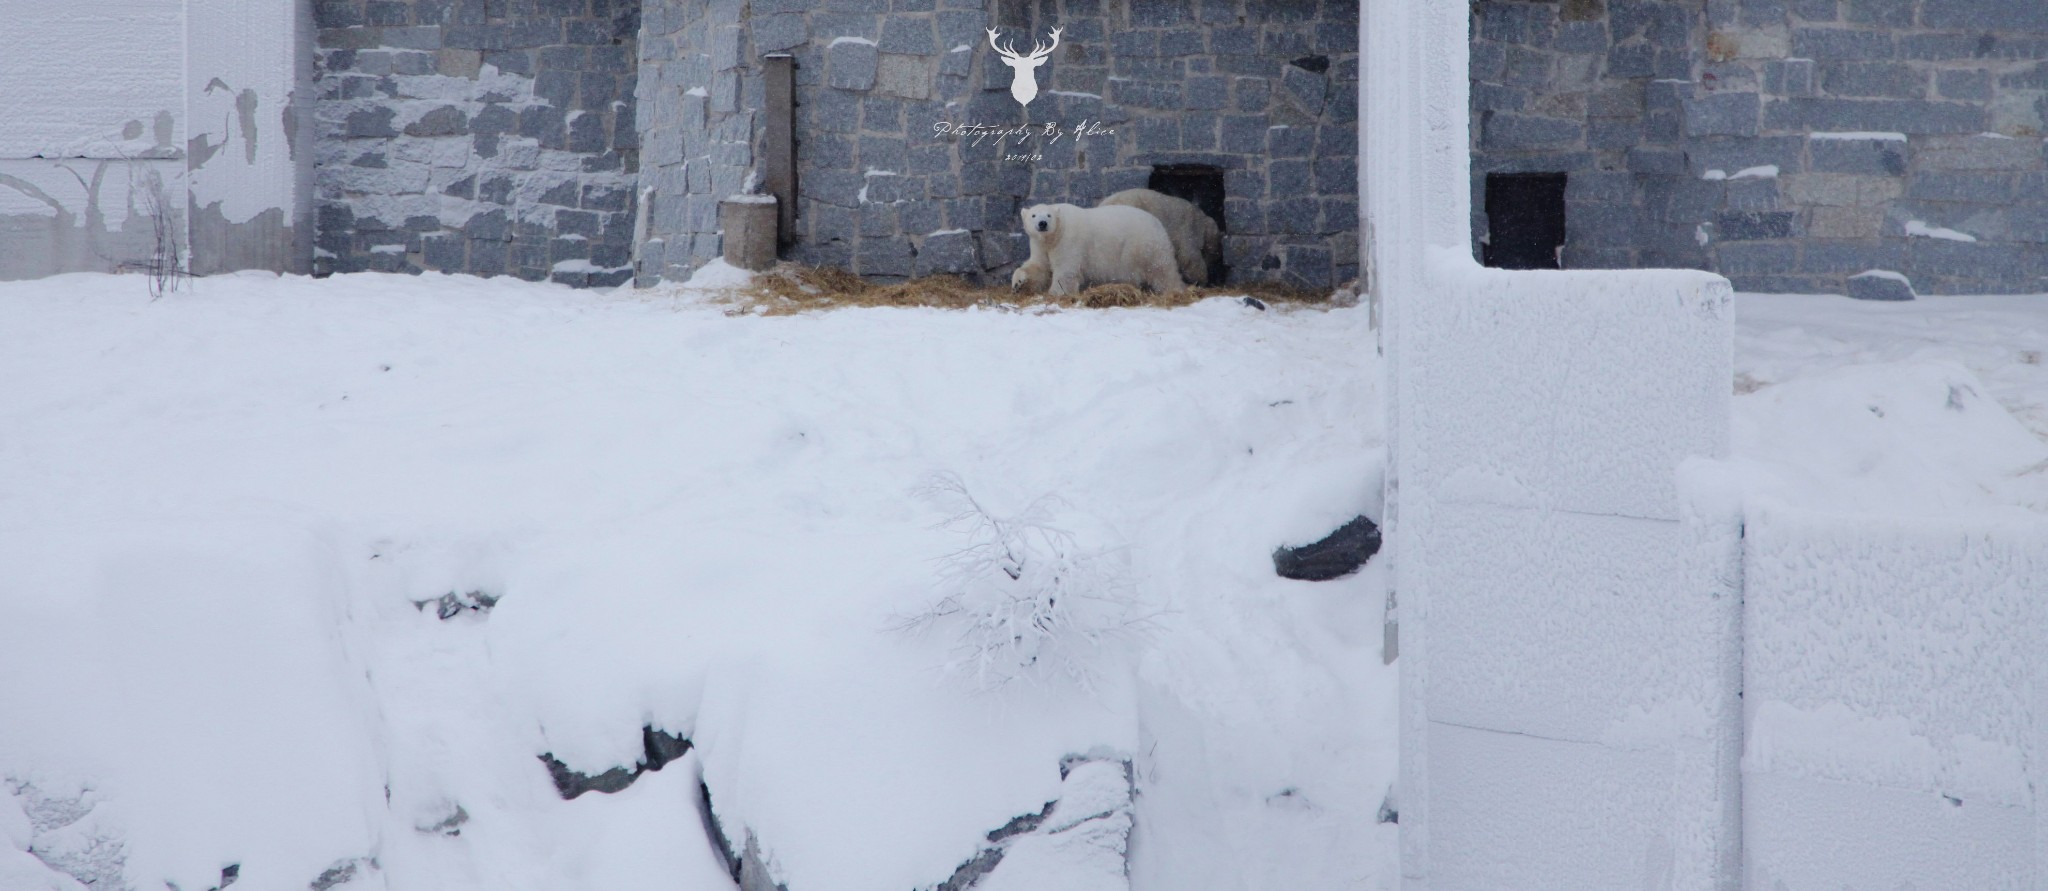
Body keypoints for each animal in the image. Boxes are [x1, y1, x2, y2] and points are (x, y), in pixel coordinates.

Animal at [1007, 203, 1187, 299]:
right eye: (1033, 215)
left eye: (1049, 215)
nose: (1042, 223)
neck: (1055, 235)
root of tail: (1159, 224)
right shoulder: (1040, 245)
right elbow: (1038, 267)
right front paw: (1017, 283)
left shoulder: (1068, 241)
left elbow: (1066, 271)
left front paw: (1055, 293)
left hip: (1145, 246)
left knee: (1162, 271)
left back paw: (1175, 291)